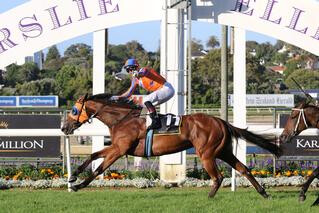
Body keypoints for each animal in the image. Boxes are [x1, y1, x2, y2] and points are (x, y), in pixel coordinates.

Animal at [62, 93, 282, 198]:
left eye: (74, 110)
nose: (65, 127)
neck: (121, 119)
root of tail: (221, 121)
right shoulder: (117, 147)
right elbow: (92, 156)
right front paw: (73, 177)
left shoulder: (120, 149)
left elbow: (99, 168)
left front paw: (79, 185)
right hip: (223, 151)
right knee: (243, 169)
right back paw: (264, 193)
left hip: (207, 153)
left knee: (218, 177)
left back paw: (209, 198)